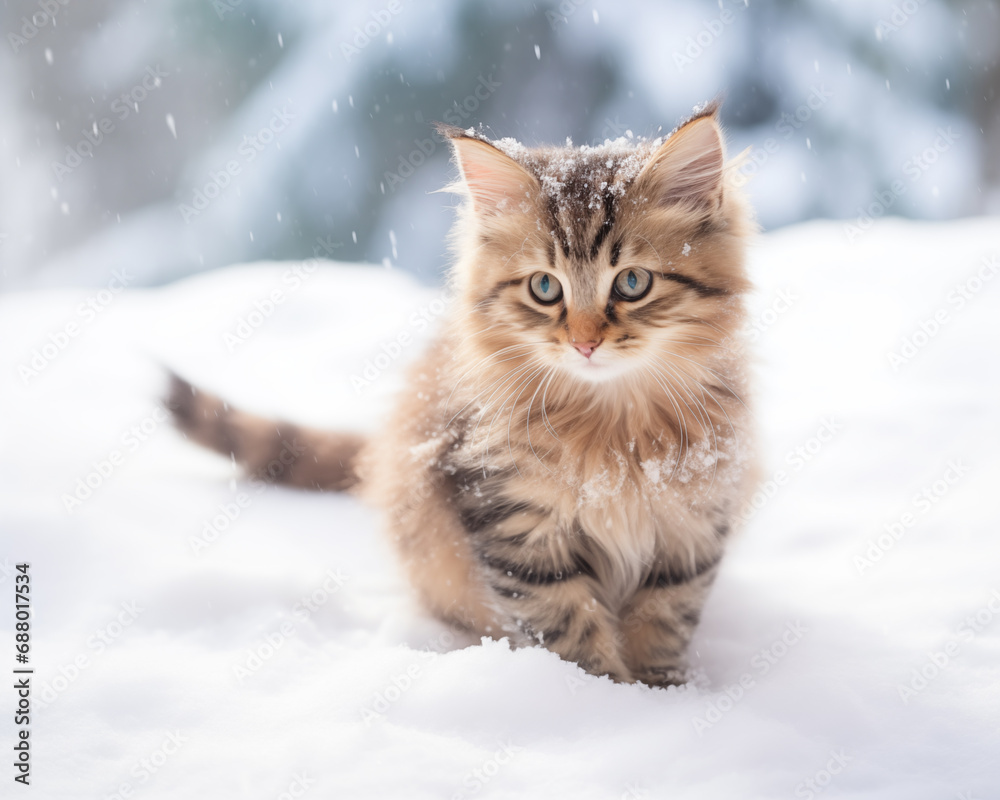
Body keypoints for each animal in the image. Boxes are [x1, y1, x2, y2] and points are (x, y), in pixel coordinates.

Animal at [170, 101, 756, 688]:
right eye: (545, 288)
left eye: (633, 282)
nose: (585, 343)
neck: (613, 426)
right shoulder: (514, 525)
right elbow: (570, 630)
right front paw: (602, 694)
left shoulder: (693, 527)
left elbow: (663, 622)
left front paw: (662, 693)